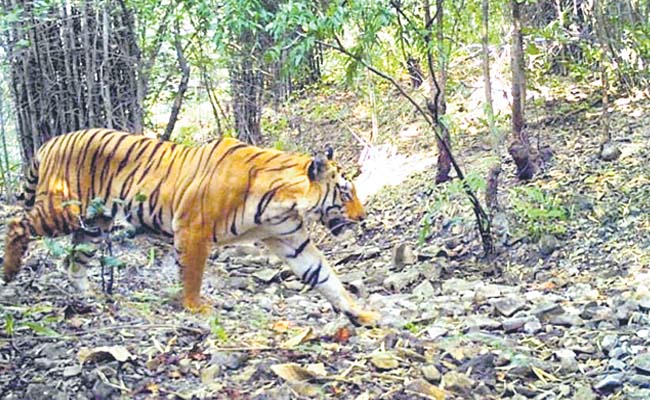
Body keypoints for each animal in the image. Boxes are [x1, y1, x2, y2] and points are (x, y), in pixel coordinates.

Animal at [1, 129, 379, 327]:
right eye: (346, 193)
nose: (362, 217)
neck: (283, 200)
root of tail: (51, 141)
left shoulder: (290, 238)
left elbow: (324, 276)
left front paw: (359, 311)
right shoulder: (192, 227)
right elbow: (193, 272)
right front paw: (196, 307)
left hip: (94, 224)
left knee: (74, 261)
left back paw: (88, 297)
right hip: (63, 210)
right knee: (17, 222)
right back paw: (9, 271)